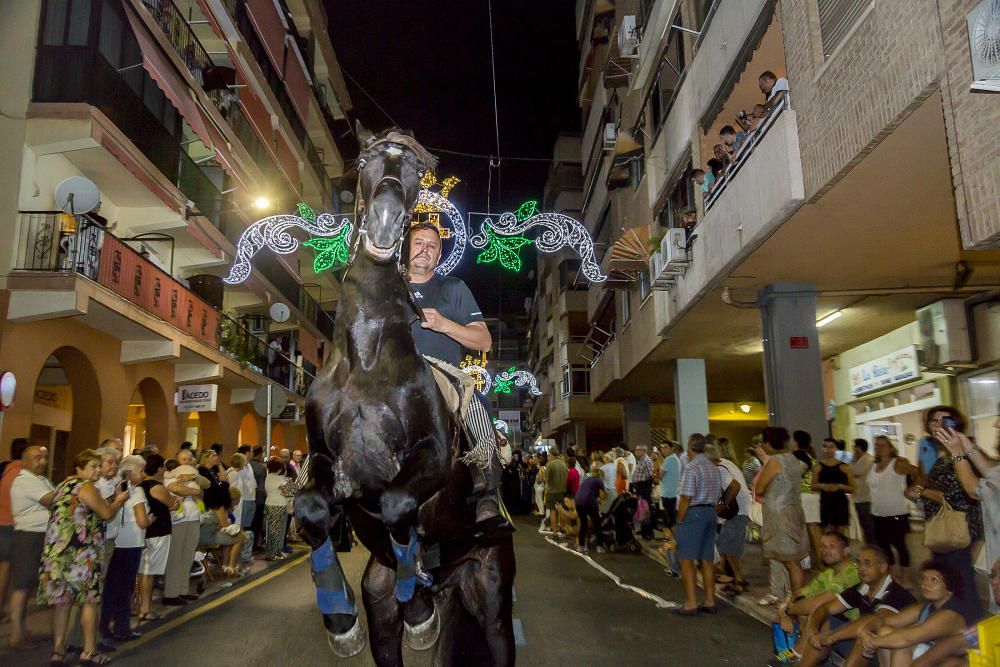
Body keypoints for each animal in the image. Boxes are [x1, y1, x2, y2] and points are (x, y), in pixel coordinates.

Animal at [292, 126, 516, 667]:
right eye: (364, 161)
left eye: (415, 169)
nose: (386, 217)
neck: (368, 358)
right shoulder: (325, 457)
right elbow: (311, 509)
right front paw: (340, 621)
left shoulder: (432, 455)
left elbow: (396, 503)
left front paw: (418, 612)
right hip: (382, 603)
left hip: (492, 600)